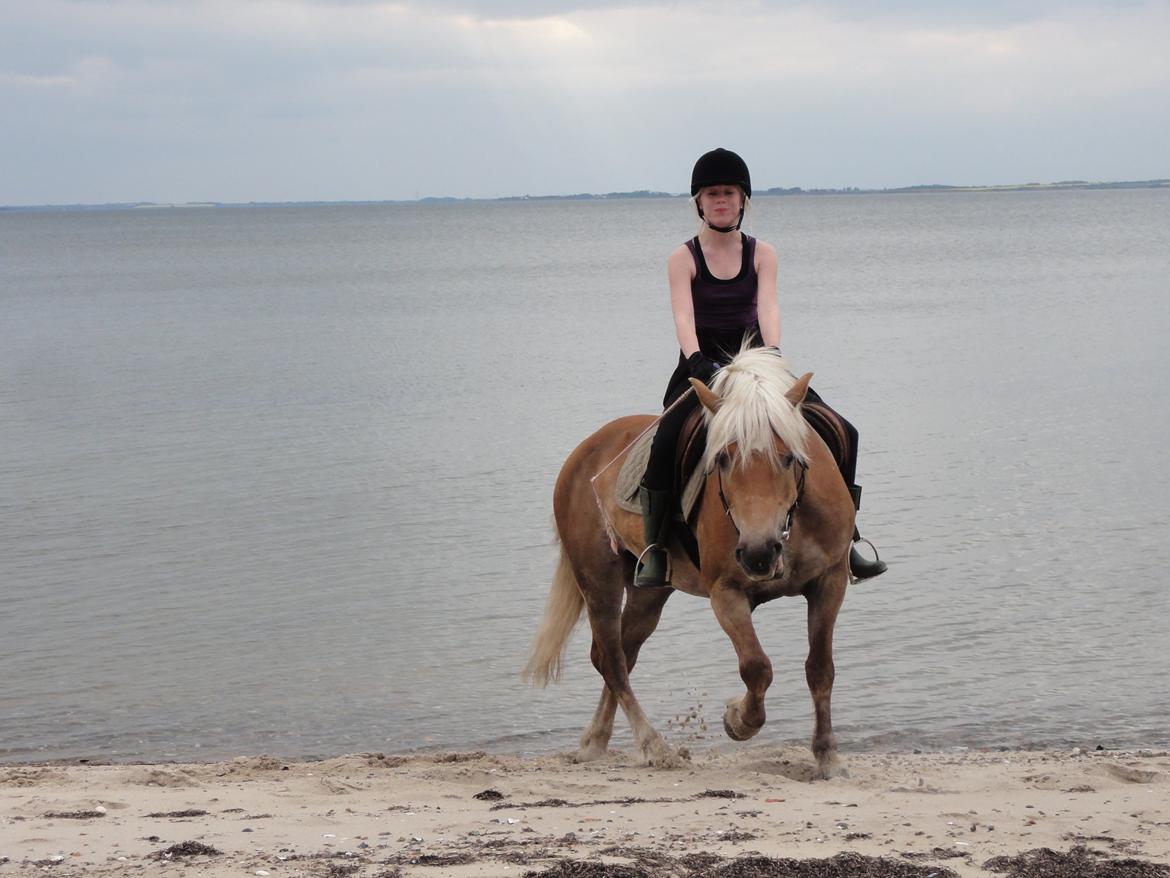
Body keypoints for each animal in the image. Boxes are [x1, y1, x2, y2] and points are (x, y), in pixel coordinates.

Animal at [526, 346, 856, 782]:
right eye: (723, 459)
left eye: (788, 459)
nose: (758, 553)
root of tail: (583, 452)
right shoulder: (726, 594)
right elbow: (756, 667)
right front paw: (738, 720)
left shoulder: (829, 583)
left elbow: (821, 668)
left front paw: (827, 756)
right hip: (597, 580)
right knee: (612, 660)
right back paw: (653, 746)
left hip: (649, 592)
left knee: (618, 654)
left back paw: (594, 741)